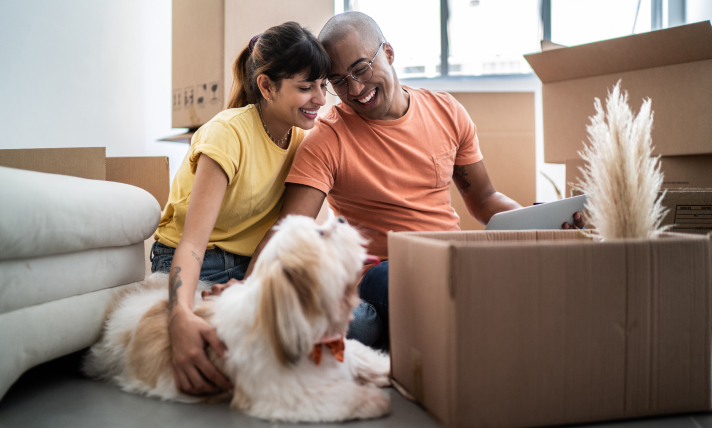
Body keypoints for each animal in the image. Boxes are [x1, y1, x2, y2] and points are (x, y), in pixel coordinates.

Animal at [87, 216, 394, 422]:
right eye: (321, 233)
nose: (340, 218)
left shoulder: (346, 349)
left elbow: (365, 356)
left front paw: (385, 371)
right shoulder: (288, 393)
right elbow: (346, 398)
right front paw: (375, 398)